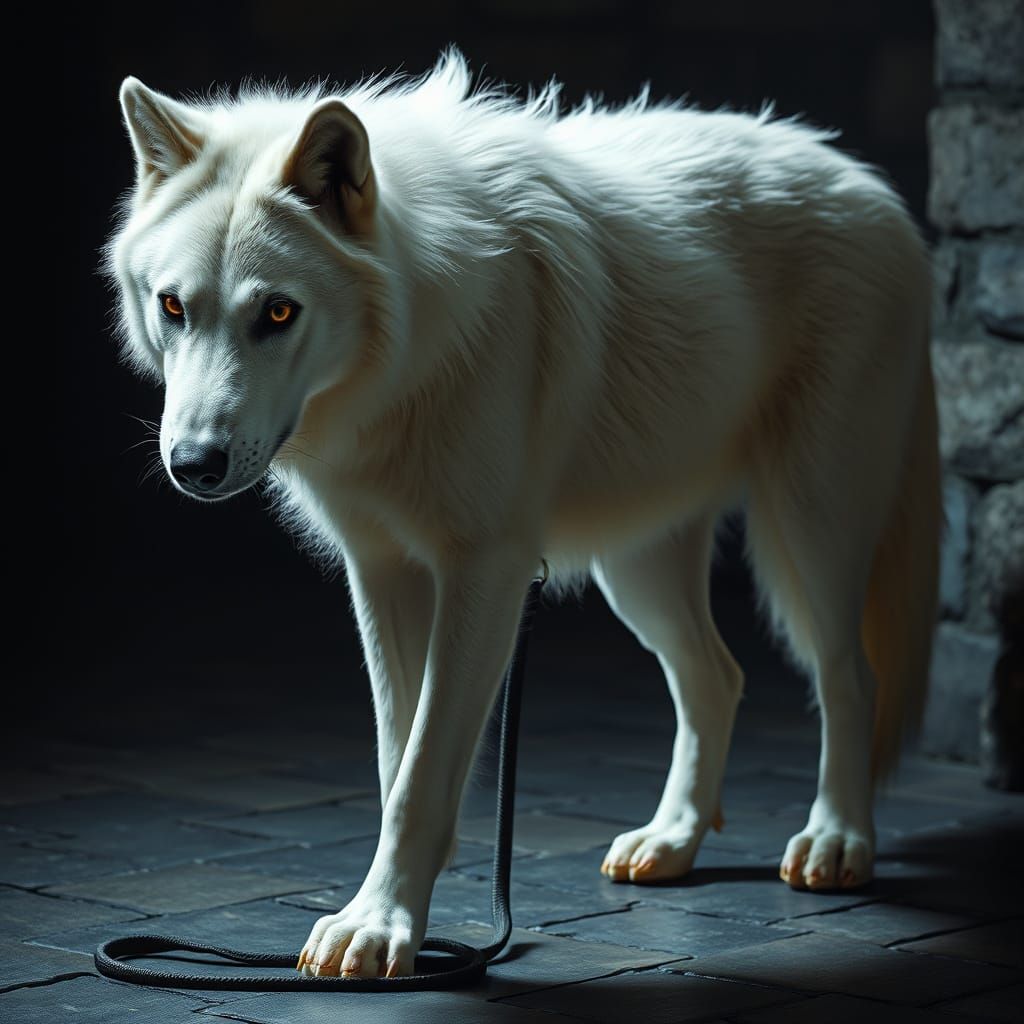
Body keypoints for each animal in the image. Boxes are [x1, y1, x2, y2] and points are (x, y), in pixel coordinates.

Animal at [107, 49, 940, 979]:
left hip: (811, 527)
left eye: (277, 312)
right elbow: (399, 765)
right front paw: (391, 918)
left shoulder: (488, 573)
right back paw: (671, 841)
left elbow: (423, 773)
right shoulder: (384, 571)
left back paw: (837, 841)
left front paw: (378, 928)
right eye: (173, 307)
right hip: (638, 567)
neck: (406, 364)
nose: (194, 466)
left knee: (849, 675)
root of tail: (869, 185)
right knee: (715, 678)